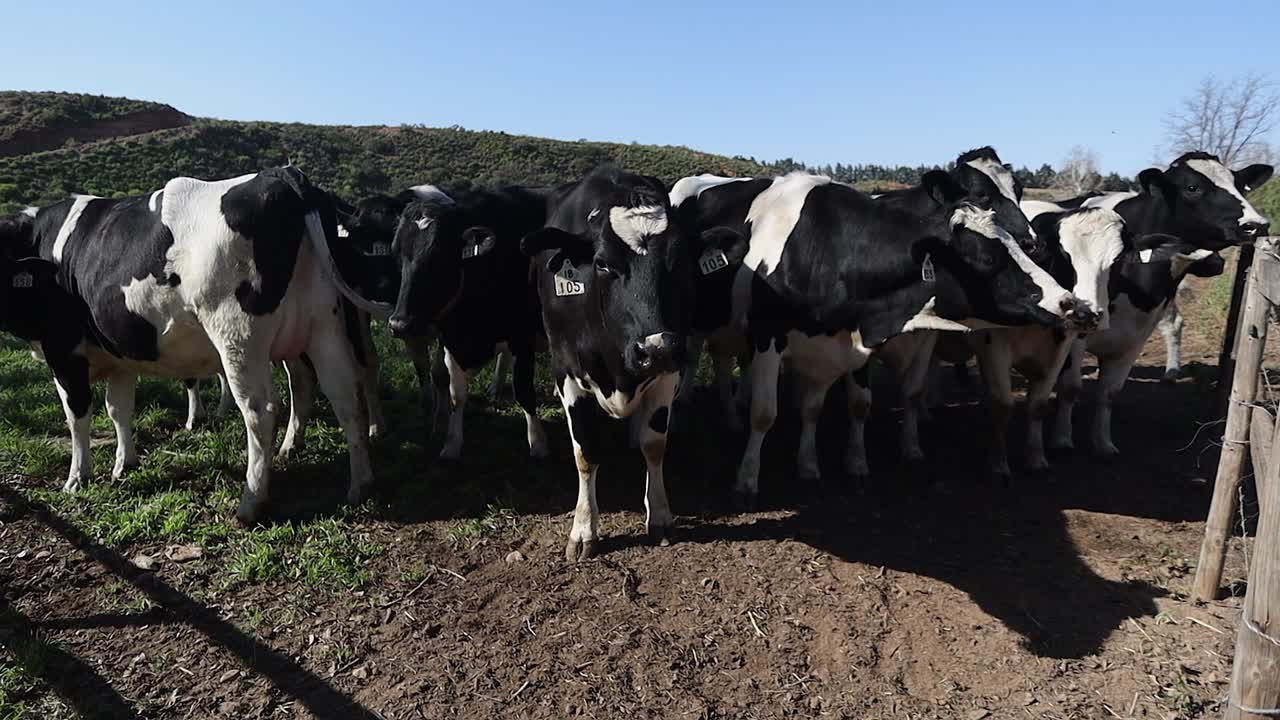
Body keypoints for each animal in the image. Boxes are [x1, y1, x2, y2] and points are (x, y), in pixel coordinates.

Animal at [0, 168, 375, 524]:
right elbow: (118, 409)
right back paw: (359, 485)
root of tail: (279, 174)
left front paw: (77, 478)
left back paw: (251, 503)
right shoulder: (120, 356)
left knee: (261, 410)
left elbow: (77, 415)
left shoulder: (63, 352)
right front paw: (125, 464)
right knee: (344, 395)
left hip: (237, 335)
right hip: (323, 328)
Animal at [521, 165, 744, 561]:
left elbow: (654, 444)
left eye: (680, 263)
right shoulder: (567, 371)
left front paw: (660, 516)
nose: (656, 348)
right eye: (603, 264)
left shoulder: (668, 372)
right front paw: (584, 529)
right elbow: (586, 451)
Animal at [729, 170, 1093, 507]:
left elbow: (836, 406)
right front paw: (747, 482)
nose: (1072, 304)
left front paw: (826, 465)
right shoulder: (767, 337)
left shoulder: (852, 342)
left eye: (1020, 247)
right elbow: (764, 414)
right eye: (987, 259)